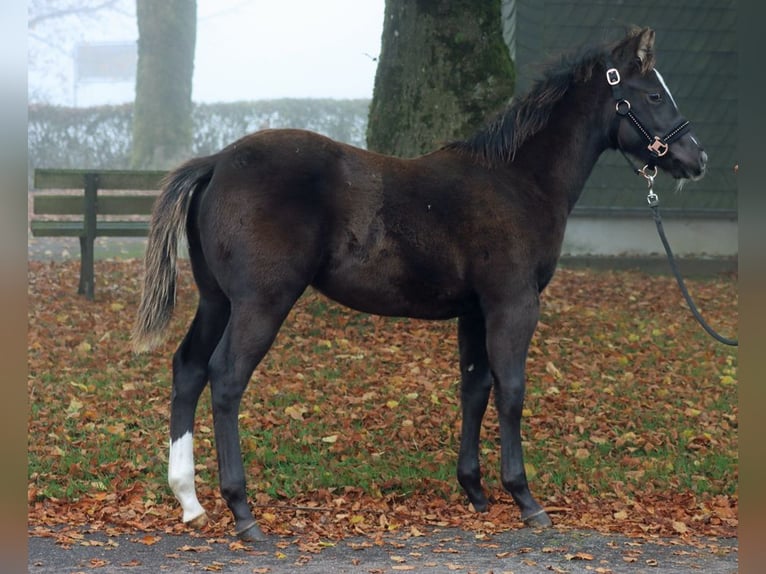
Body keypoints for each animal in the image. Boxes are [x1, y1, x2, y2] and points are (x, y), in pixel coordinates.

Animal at [132, 27, 706, 542]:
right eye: (653, 94)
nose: (696, 158)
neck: (518, 181)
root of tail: (216, 162)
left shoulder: (475, 311)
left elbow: (475, 389)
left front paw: (475, 491)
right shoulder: (513, 304)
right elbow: (511, 391)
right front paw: (525, 498)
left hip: (217, 301)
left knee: (188, 369)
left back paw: (189, 500)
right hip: (260, 303)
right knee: (226, 377)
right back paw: (242, 512)